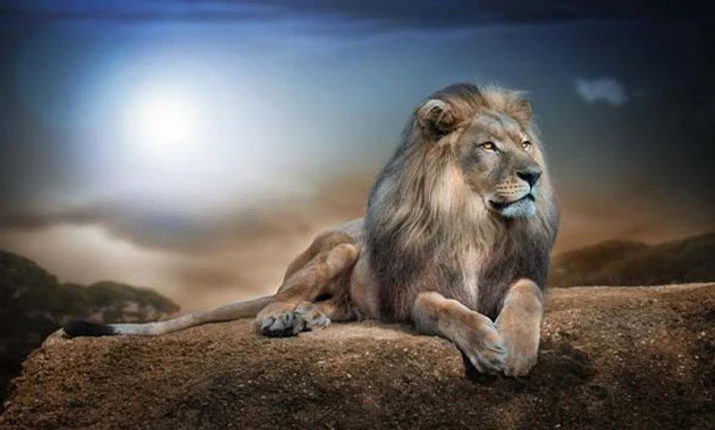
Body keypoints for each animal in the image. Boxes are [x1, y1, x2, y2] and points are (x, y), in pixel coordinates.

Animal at [64, 83, 559, 377]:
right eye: (489, 147)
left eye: (526, 144)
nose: (534, 174)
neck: (475, 222)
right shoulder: (410, 294)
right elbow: (444, 309)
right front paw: (487, 345)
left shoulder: (517, 275)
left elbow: (526, 296)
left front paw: (515, 348)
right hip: (339, 250)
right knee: (273, 303)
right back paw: (284, 318)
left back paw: (309, 318)